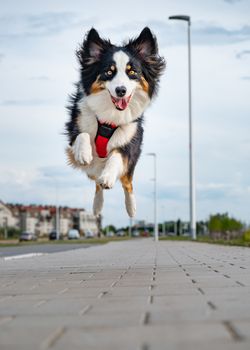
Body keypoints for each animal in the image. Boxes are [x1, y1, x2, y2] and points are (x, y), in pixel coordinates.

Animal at [65, 27, 165, 217]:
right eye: (109, 72)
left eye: (132, 72)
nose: (121, 90)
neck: (109, 117)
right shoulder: (75, 126)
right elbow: (81, 134)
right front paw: (83, 153)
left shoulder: (130, 141)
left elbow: (117, 156)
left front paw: (108, 177)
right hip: (92, 169)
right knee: (96, 181)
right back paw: (97, 206)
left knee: (127, 183)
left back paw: (131, 208)